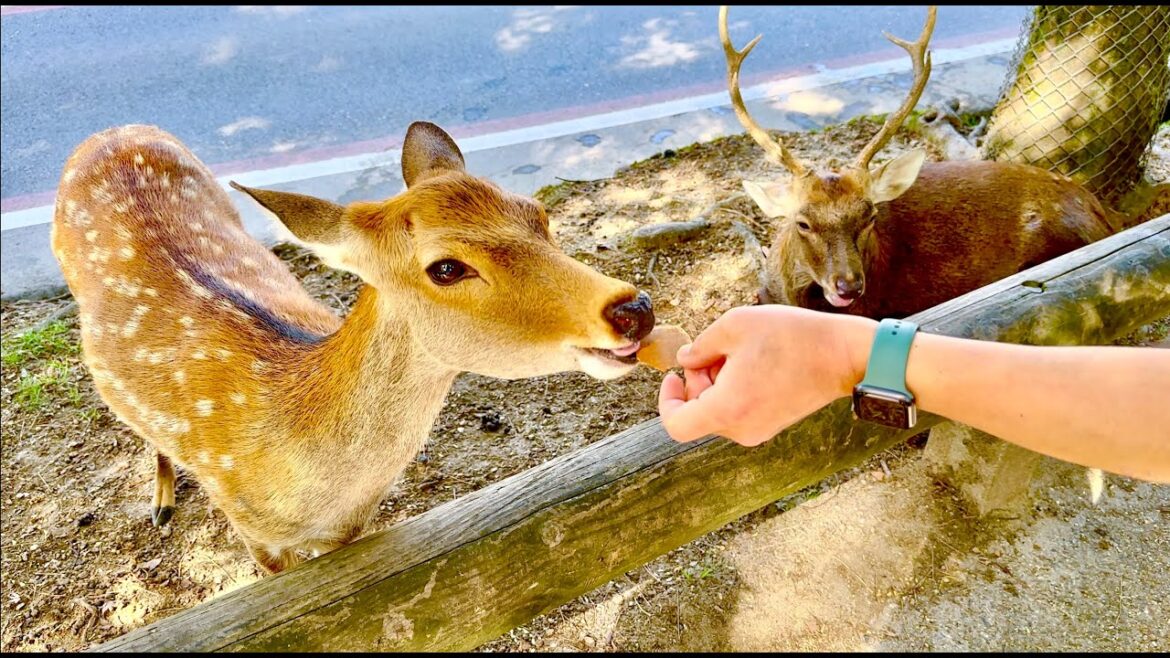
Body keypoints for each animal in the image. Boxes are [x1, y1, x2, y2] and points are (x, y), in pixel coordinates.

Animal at [51, 121, 656, 574]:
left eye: (539, 214)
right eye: (446, 267)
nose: (634, 310)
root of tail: (113, 130)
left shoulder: (351, 530)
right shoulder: (254, 532)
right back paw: (162, 501)